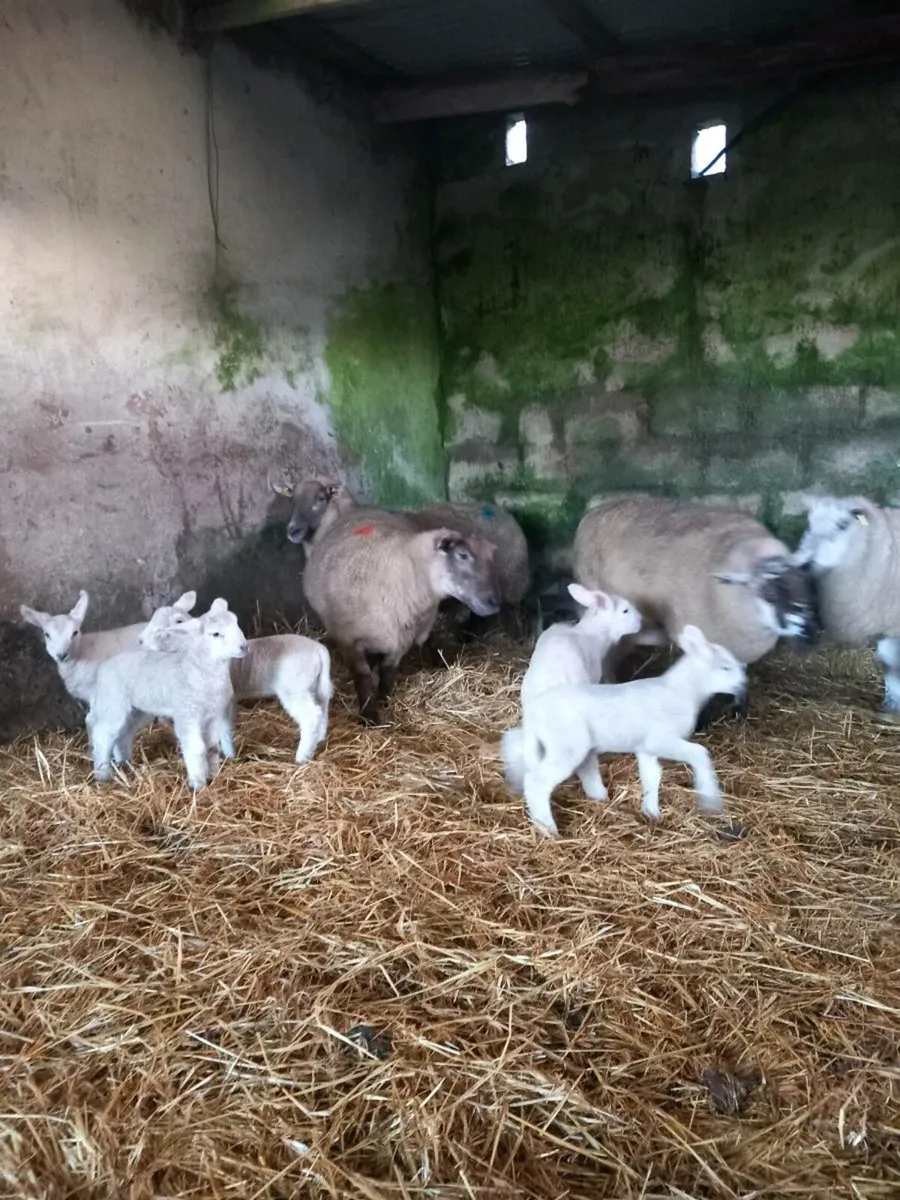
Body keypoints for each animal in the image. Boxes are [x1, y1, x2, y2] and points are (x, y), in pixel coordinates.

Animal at [88, 599, 248, 791]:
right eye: (215, 634)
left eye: (236, 623)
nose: (244, 647)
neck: (196, 669)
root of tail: (103, 667)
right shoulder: (186, 716)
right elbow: (196, 748)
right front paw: (197, 784)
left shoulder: (212, 715)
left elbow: (211, 747)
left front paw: (213, 774)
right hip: (112, 703)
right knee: (102, 736)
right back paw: (102, 775)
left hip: (137, 710)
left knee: (123, 733)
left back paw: (125, 763)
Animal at [302, 511, 499, 724]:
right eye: (463, 555)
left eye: (491, 557)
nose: (494, 602)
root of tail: (363, 510)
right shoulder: (349, 639)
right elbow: (362, 676)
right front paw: (369, 716)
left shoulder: (401, 638)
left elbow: (388, 670)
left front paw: (383, 698)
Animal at [519, 625, 747, 837]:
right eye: (725, 667)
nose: (743, 685)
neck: (682, 691)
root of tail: (533, 711)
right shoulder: (661, 738)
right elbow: (699, 753)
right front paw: (710, 800)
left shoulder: (646, 748)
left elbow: (652, 775)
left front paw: (651, 812)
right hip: (567, 745)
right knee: (536, 782)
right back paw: (548, 829)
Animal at [791, 494, 900, 713]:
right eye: (810, 524)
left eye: (842, 525)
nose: (802, 563)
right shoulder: (884, 623)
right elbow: (888, 663)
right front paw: (891, 705)